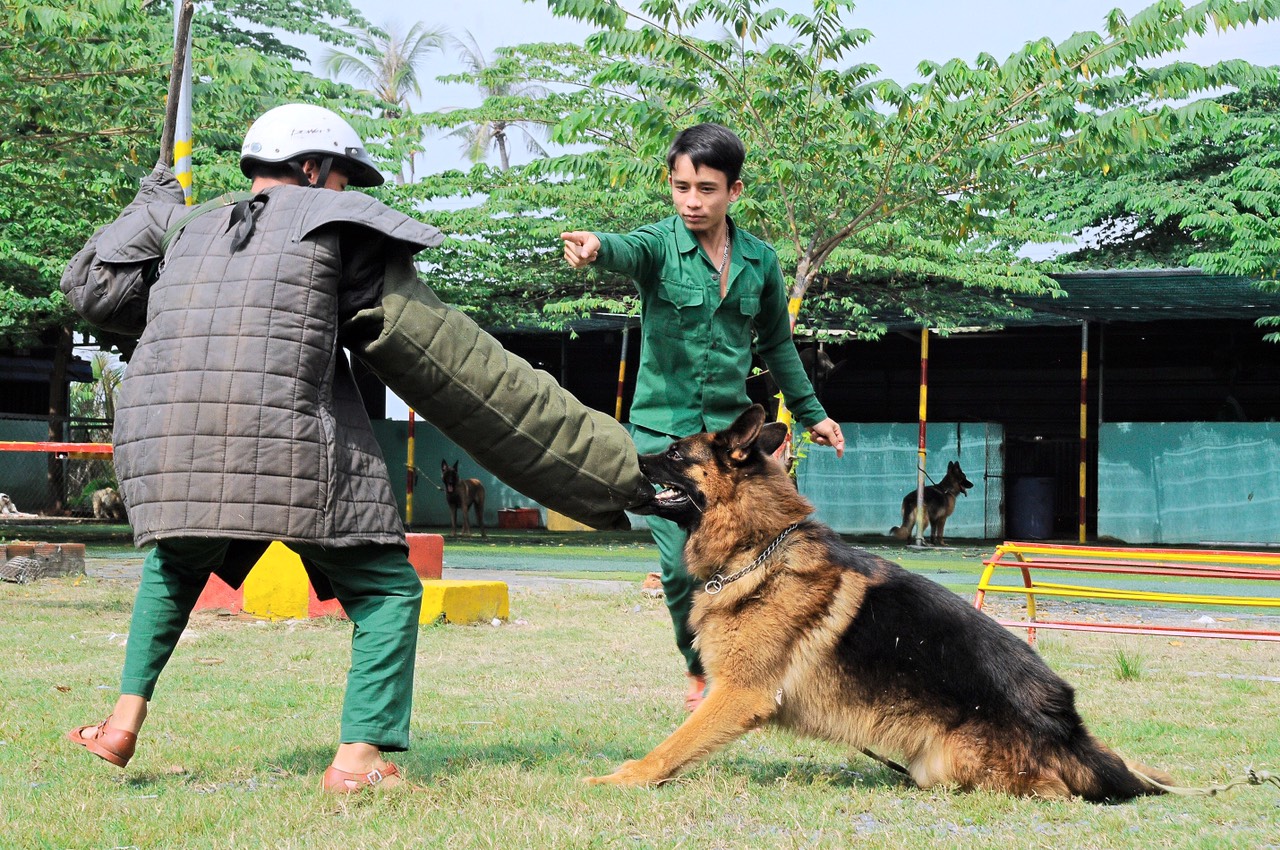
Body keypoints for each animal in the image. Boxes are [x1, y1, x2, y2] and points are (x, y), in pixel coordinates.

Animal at [588, 409, 1172, 798]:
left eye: (674, 454)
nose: (632, 456)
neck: (758, 546)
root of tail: (1067, 727)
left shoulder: (738, 694)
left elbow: (670, 747)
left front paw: (621, 778)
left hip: (948, 762)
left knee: (1051, 788)